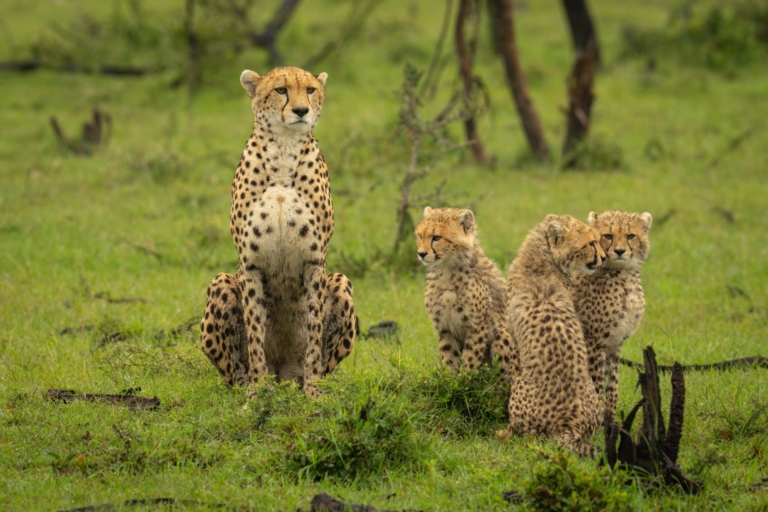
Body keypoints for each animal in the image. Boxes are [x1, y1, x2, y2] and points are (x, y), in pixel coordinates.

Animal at [196, 67, 356, 396]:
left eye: (310, 90)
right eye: (281, 90)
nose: (301, 111)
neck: (284, 149)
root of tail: (283, 373)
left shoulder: (314, 261)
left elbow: (313, 329)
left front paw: (313, 392)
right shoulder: (251, 264)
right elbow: (255, 329)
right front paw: (257, 393)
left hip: (341, 281)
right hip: (221, 282)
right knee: (235, 373)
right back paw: (250, 386)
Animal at [414, 206, 516, 382]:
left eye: (436, 237)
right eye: (420, 236)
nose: (421, 254)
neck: (447, 270)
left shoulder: (477, 326)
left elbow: (471, 355)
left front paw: (466, 379)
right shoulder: (444, 326)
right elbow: (449, 355)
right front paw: (450, 380)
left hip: (504, 334)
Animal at [504, 214, 608, 454]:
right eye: (591, 243)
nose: (604, 258)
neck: (543, 259)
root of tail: (569, 422)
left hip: (520, 390)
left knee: (523, 434)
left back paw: (503, 432)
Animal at [572, 210, 652, 422]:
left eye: (630, 236)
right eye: (608, 236)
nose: (620, 251)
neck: (622, 275)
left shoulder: (615, 342)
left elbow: (613, 383)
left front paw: (610, 420)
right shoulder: (594, 340)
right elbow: (596, 382)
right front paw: (596, 420)